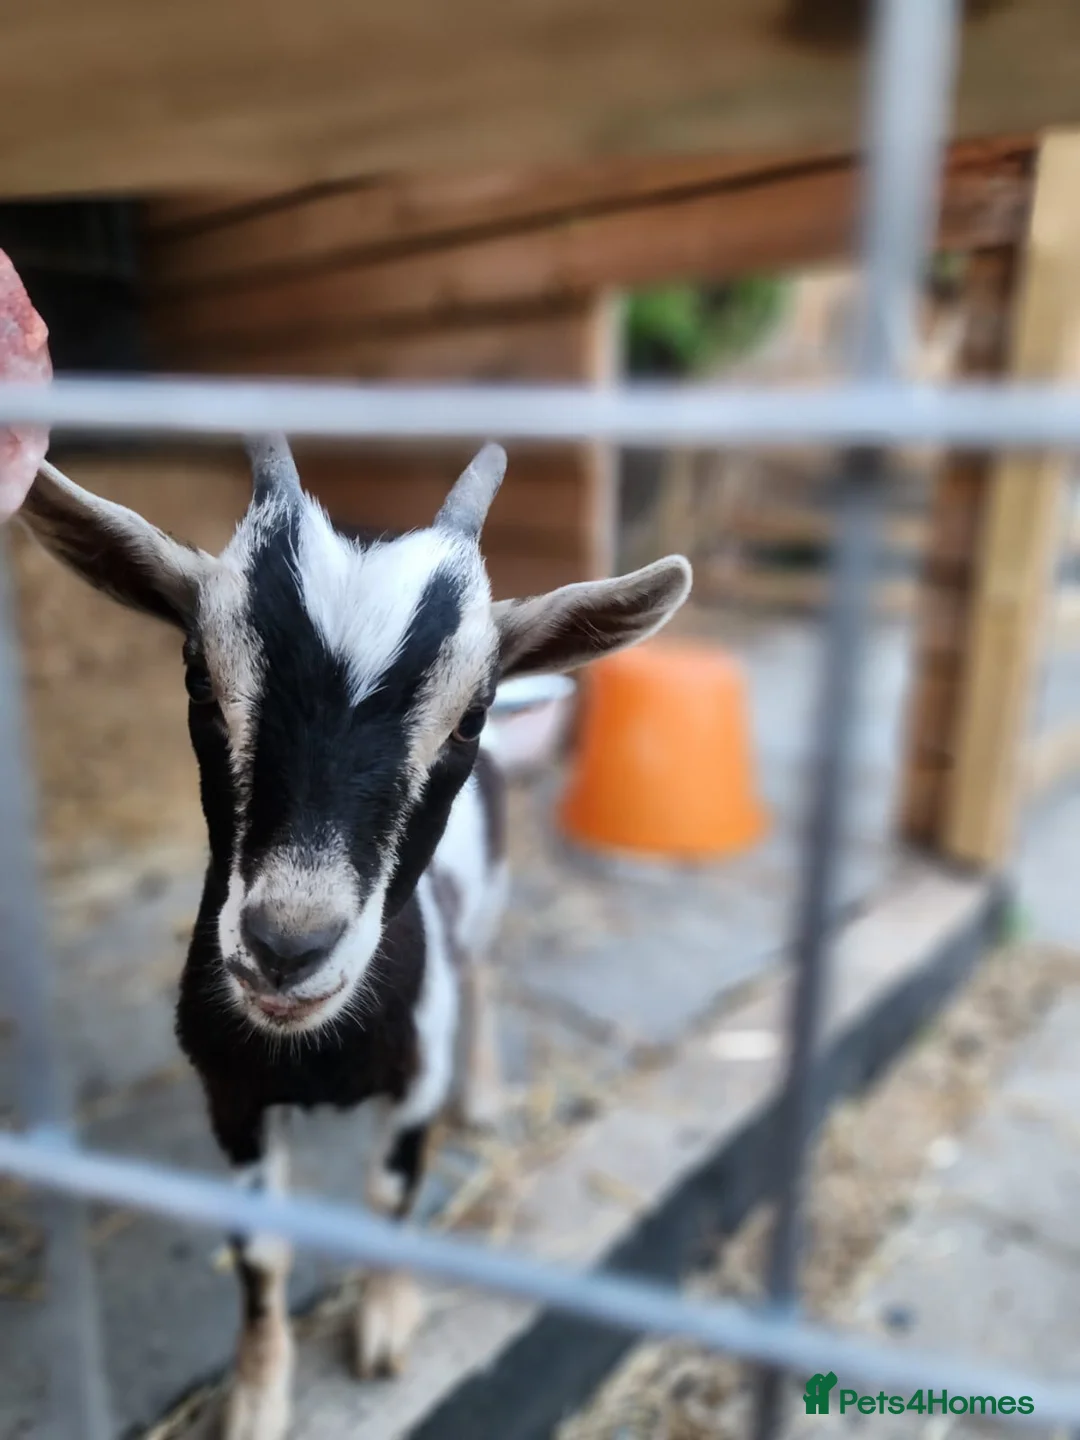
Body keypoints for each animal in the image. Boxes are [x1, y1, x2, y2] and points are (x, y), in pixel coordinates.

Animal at [19, 438, 691, 1440]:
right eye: (200, 680)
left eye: (468, 715)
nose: (287, 946)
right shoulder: (233, 1097)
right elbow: (261, 1246)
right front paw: (258, 1398)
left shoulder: (412, 1084)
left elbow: (390, 1195)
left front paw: (383, 1327)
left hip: (486, 912)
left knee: (485, 975)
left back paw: (484, 1094)